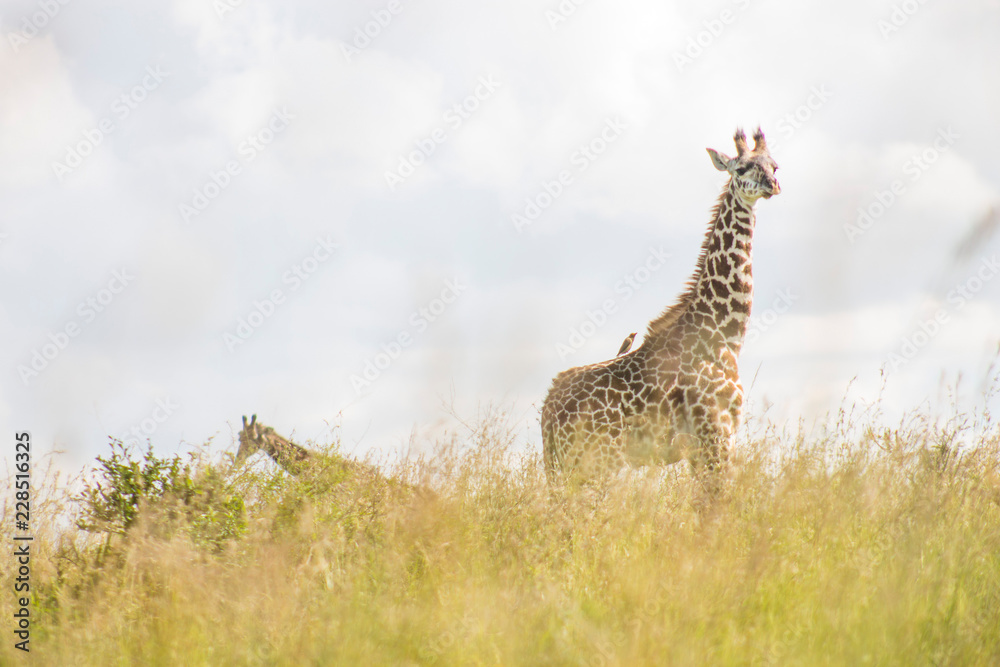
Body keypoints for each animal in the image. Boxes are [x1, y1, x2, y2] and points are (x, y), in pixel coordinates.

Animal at [541, 128, 780, 490]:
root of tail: (547, 413)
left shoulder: (706, 444)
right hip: (595, 464)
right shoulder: (717, 431)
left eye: (774, 166)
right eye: (741, 169)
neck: (724, 332)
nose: (772, 185)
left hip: (566, 468)